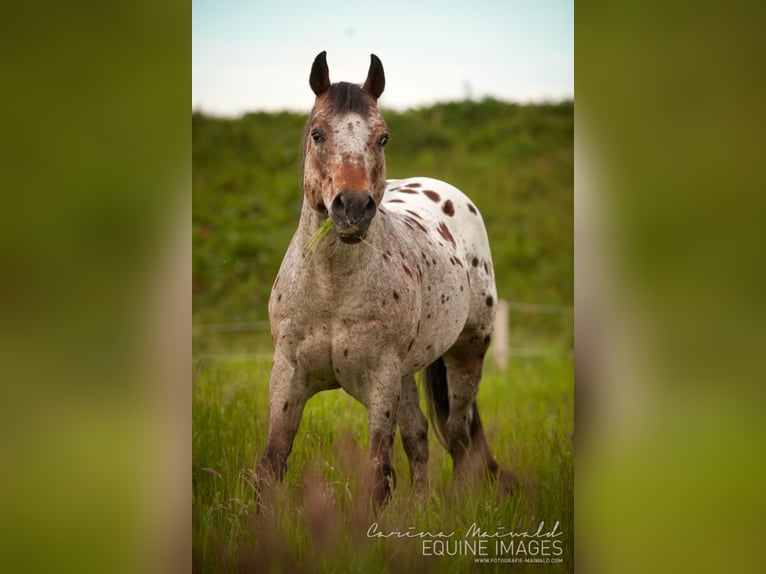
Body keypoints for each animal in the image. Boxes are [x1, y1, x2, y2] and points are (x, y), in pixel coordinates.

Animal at [257, 51, 512, 506]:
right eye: (318, 134)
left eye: (383, 138)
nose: (353, 208)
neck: (332, 291)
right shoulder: (287, 378)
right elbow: (273, 463)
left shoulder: (381, 382)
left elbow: (379, 474)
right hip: (409, 373)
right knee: (419, 436)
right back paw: (422, 505)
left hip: (466, 355)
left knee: (458, 436)